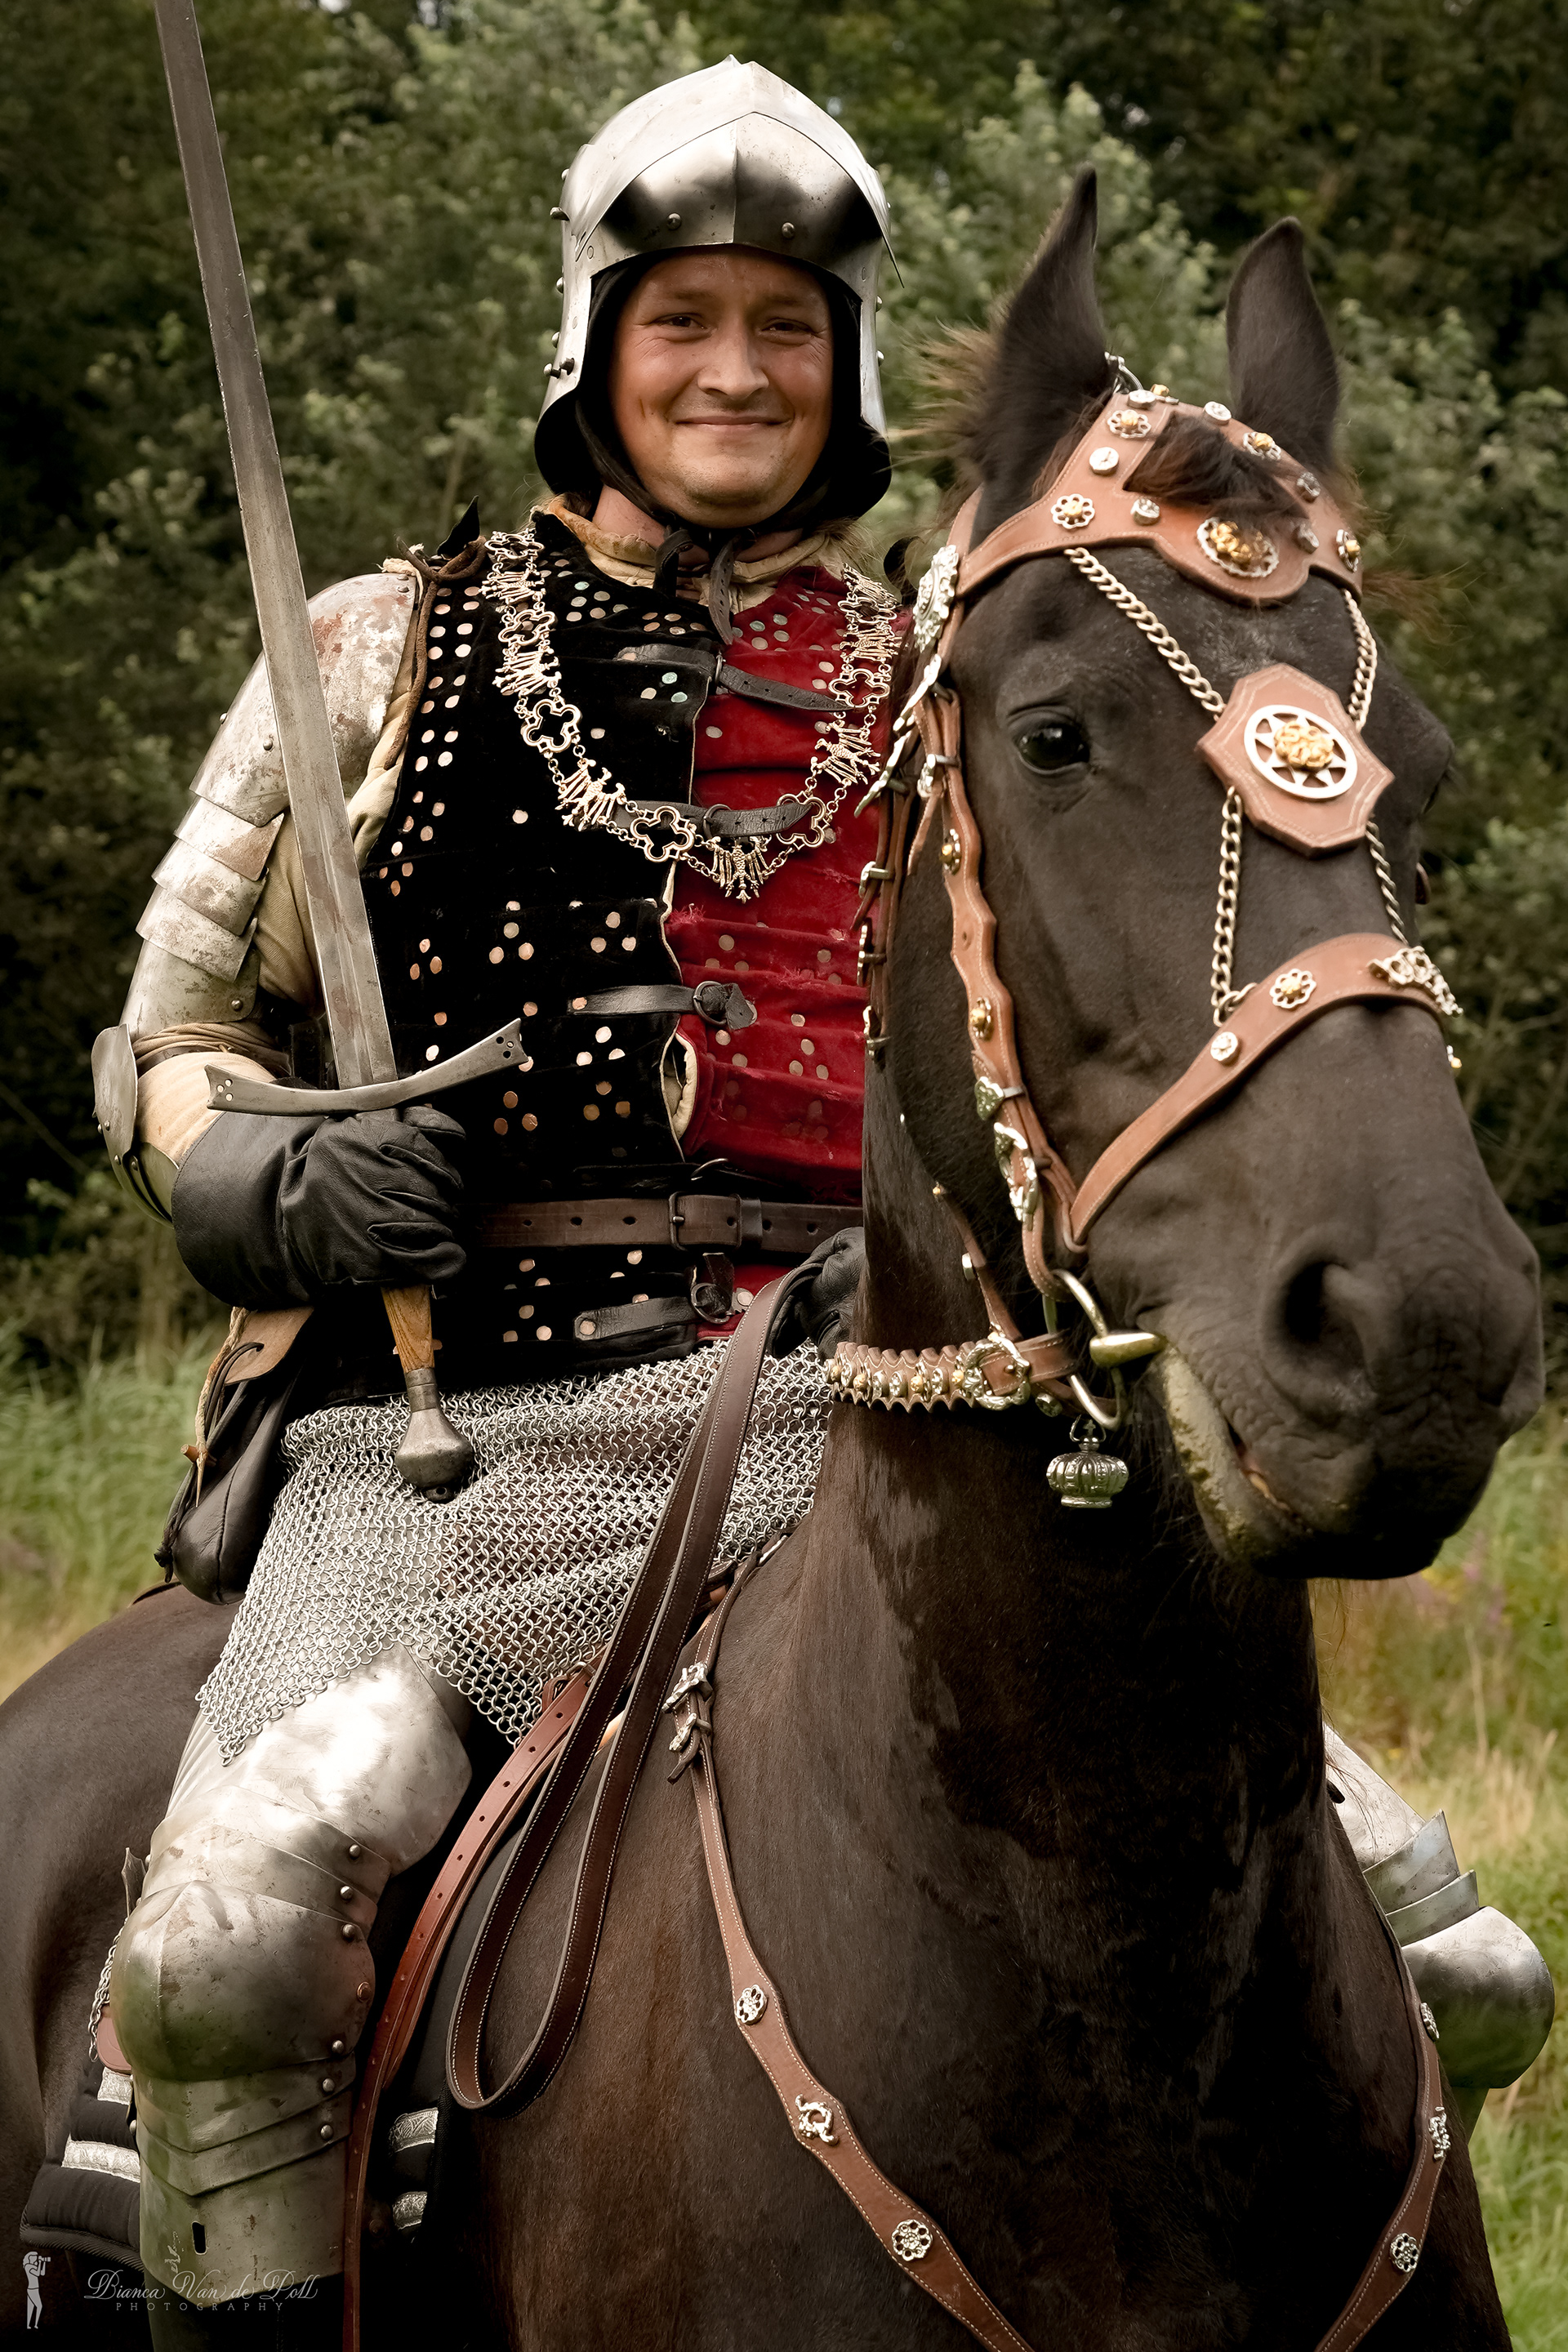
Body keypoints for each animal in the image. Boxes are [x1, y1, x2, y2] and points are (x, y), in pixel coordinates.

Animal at [0, 174, 1543, 2349]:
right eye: (1053, 736)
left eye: (1410, 753)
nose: (1414, 1336)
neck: (1097, 1979)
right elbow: (185, 1043)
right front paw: (355, 1186)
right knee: (226, 1952)